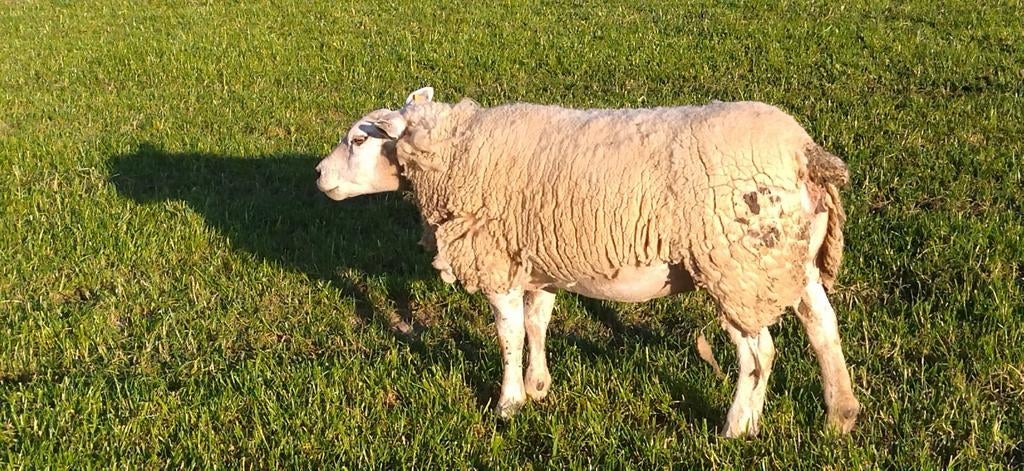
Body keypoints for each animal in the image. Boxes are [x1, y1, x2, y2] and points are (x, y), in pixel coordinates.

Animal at [315, 87, 861, 437]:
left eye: (359, 140)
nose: (319, 175)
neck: (455, 151)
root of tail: (805, 154)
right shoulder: (538, 260)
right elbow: (537, 323)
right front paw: (538, 387)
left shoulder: (497, 260)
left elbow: (509, 334)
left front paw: (508, 404)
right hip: (788, 257)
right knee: (823, 327)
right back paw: (840, 415)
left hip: (737, 265)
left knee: (759, 353)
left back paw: (737, 428)